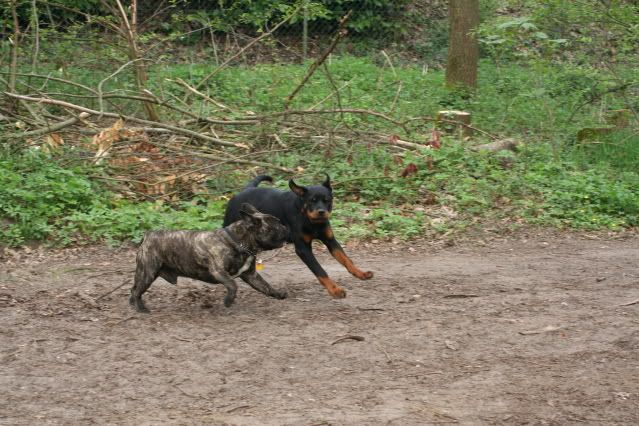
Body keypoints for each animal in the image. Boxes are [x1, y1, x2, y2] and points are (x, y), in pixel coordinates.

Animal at [129, 203, 288, 312]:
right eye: (277, 226)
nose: (286, 228)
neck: (238, 241)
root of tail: (148, 235)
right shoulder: (218, 271)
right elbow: (233, 285)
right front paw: (228, 301)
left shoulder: (251, 275)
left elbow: (265, 286)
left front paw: (278, 294)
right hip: (148, 273)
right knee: (137, 290)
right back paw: (141, 308)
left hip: (146, 273)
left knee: (134, 289)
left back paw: (133, 304)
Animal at [225, 175, 376, 298]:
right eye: (312, 200)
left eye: (327, 200)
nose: (321, 212)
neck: (309, 220)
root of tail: (244, 190)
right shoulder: (303, 249)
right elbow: (320, 270)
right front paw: (335, 290)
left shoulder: (331, 241)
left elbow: (346, 259)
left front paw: (360, 273)